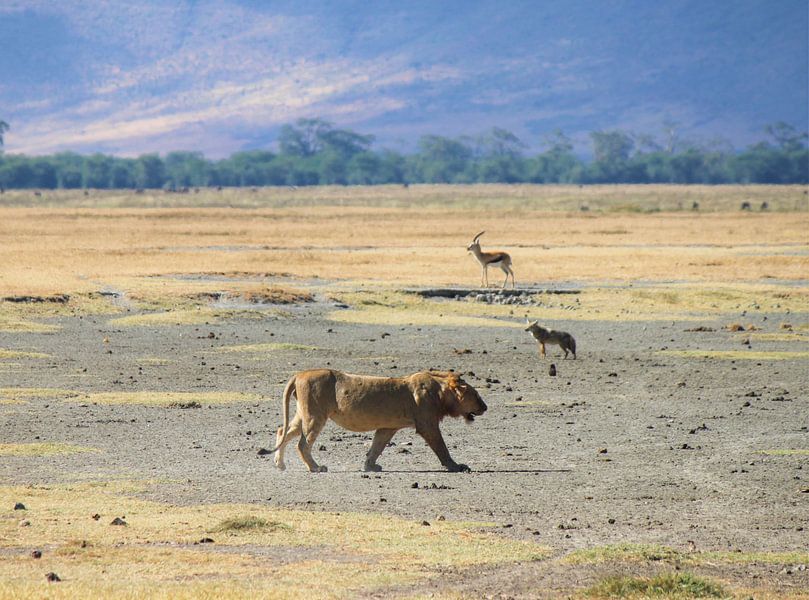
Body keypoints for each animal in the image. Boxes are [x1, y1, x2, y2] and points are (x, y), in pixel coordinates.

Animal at [269, 369, 487, 473]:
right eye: (476, 395)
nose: (485, 407)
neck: (441, 392)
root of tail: (299, 374)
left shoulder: (388, 427)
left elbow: (376, 447)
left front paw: (370, 466)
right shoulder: (427, 425)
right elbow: (442, 448)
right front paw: (455, 466)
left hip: (303, 414)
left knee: (283, 431)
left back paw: (280, 464)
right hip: (316, 415)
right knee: (302, 443)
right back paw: (316, 468)